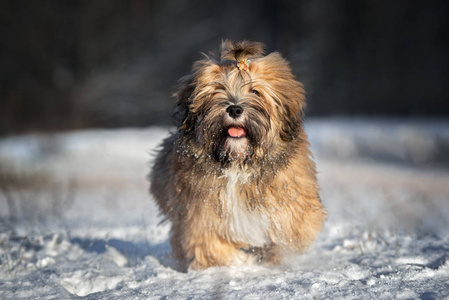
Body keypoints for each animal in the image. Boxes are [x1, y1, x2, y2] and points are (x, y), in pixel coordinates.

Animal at [150, 38, 326, 270]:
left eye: (256, 92)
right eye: (218, 89)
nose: (234, 109)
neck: (237, 163)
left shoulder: (293, 197)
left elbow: (294, 225)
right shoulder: (199, 214)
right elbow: (210, 245)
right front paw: (241, 260)